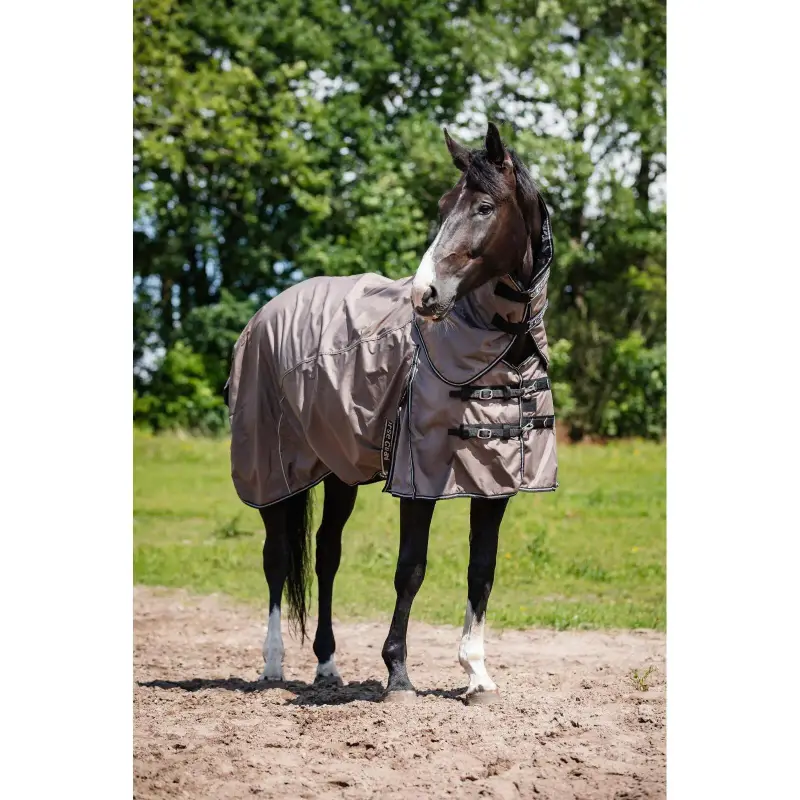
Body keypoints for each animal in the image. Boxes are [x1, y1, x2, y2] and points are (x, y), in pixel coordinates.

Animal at [225, 122, 556, 704]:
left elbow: (482, 570)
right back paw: (273, 665)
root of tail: (267, 310)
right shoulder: (417, 478)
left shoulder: (495, 482)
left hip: (337, 470)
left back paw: (327, 666)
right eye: (444, 205)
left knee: (327, 553)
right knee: (277, 557)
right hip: (271, 474)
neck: (499, 349)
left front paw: (477, 674)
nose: (426, 293)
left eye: (484, 207)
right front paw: (398, 673)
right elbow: (411, 569)